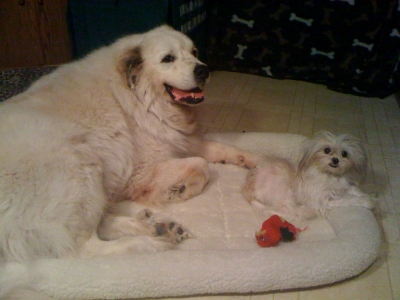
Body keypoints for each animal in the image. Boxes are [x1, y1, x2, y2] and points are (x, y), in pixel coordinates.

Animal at [0, 24, 260, 280]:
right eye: (168, 58)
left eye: (194, 52)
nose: (203, 70)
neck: (139, 95)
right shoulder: (141, 172)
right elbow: (201, 165)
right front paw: (181, 190)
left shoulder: (177, 139)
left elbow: (220, 147)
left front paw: (253, 160)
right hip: (81, 168)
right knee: (80, 251)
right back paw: (148, 243)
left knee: (103, 225)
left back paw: (155, 228)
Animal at [244, 131, 376, 220]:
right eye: (327, 150)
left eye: (344, 153)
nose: (335, 160)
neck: (330, 176)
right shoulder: (323, 200)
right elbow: (347, 200)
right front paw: (368, 202)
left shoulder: (345, 186)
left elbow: (354, 190)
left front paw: (368, 196)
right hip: (284, 191)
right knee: (288, 211)